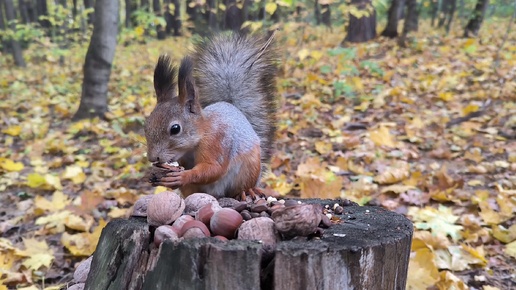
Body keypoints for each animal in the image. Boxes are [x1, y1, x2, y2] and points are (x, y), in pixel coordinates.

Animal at [143, 31, 278, 199]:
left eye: (175, 129)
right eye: (146, 125)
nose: (152, 158)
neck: (202, 133)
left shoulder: (217, 142)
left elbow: (214, 169)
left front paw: (183, 176)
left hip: (249, 169)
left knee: (241, 186)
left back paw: (247, 190)